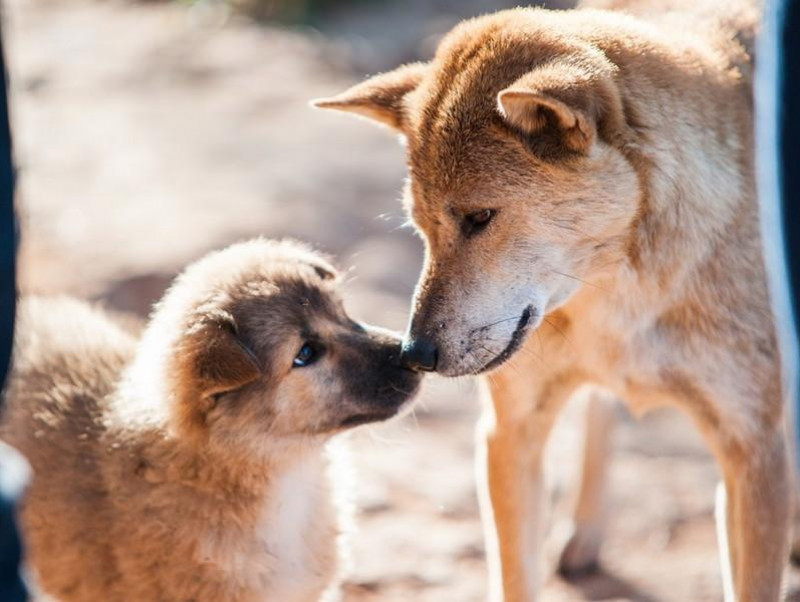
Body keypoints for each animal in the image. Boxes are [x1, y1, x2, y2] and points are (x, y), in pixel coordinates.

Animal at [314, 1, 792, 600]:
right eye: (419, 227)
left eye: (479, 218)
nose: (414, 354)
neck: (616, 297)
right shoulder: (509, 432)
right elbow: (516, 576)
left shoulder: (754, 455)